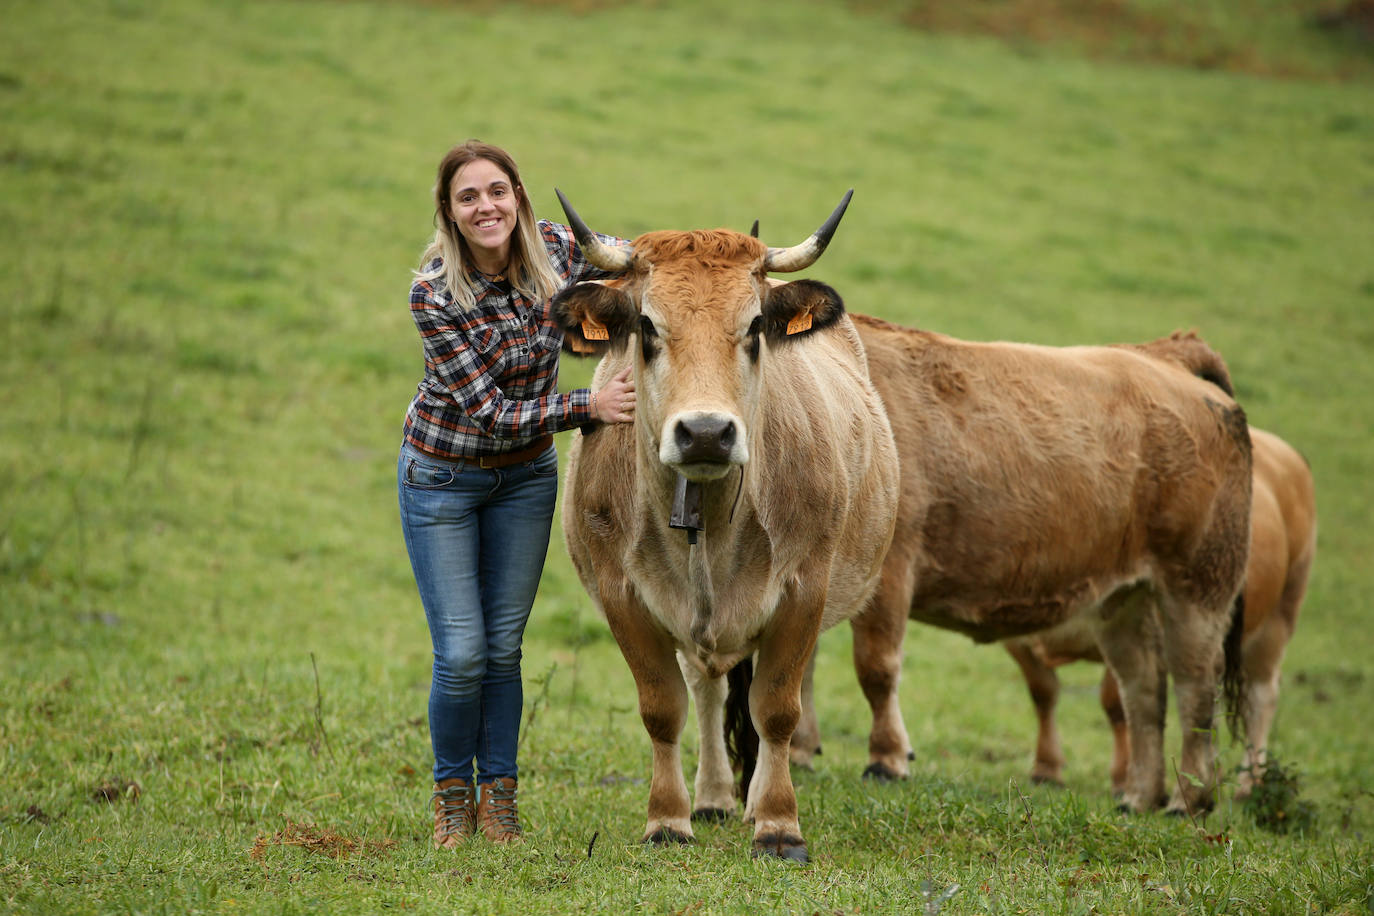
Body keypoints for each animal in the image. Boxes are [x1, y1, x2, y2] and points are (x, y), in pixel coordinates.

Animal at [546, 189, 901, 862]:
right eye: (647, 327)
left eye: (756, 326)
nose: (706, 432)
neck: (707, 524)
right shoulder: (623, 597)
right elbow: (663, 708)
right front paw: (668, 819)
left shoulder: (803, 592)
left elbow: (778, 710)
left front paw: (779, 825)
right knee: (706, 689)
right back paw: (711, 797)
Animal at [785, 317, 1258, 818]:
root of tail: (1162, 355)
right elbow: (802, 663)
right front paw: (799, 752)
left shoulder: (892, 567)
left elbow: (876, 669)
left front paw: (887, 760)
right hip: (1123, 598)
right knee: (1144, 688)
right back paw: (1139, 797)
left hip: (1199, 584)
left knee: (1195, 687)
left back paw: (1189, 800)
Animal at [1005, 333, 1313, 796]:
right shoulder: (1020, 635)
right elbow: (1043, 691)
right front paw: (1047, 769)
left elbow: (1117, 703)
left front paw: (1123, 780)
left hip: (1280, 613)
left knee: (1262, 694)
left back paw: (1248, 785)